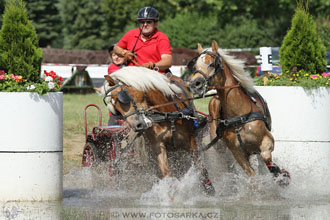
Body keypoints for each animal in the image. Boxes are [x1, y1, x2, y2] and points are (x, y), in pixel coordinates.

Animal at [103, 66, 217, 195]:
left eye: (122, 98)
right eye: (115, 109)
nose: (138, 126)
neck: (167, 114)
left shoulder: (190, 143)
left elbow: (201, 170)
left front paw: (210, 190)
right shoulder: (158, 145)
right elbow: (167, 174)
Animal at [188, 40, 288, 185]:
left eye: (211, 64)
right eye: (195, 65)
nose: (195, 84)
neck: (239, 117)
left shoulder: (267, 139)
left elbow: (266, 157)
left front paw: (282, 175)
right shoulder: (237, 152)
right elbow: (252, 177)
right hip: (220, 147)